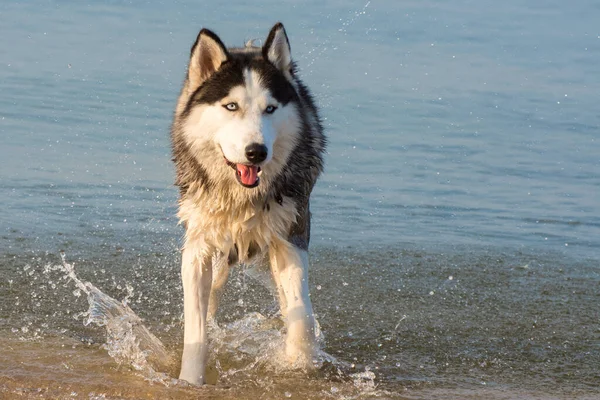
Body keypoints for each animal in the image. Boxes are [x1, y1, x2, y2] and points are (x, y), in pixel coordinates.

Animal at [171, 23, 326, 386]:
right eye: (231, 107)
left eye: (270, 109)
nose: (257, 152)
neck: (242, 197)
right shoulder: (198, 245)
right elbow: (196, 329)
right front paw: (190, 381)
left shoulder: (290, 236)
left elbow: (301, 317)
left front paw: (298, 363)